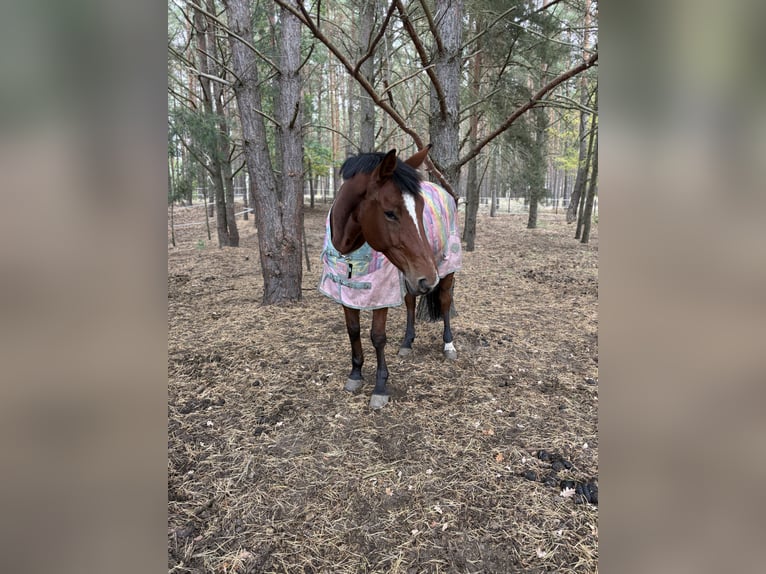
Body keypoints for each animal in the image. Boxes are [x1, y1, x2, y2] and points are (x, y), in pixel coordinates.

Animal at [318, 146, 463, 409]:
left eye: (420, 210)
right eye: (390, 213)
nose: (429, 278)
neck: (349, 250)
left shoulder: (381, 293)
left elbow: (377, 337)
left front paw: (380, 387)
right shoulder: (346, 290)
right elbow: (353, 330)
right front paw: (355, 374)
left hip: (445, 268)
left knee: (445, 302)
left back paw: (449, 345)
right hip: (409, 278)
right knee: (410, 303)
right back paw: (407, 343)